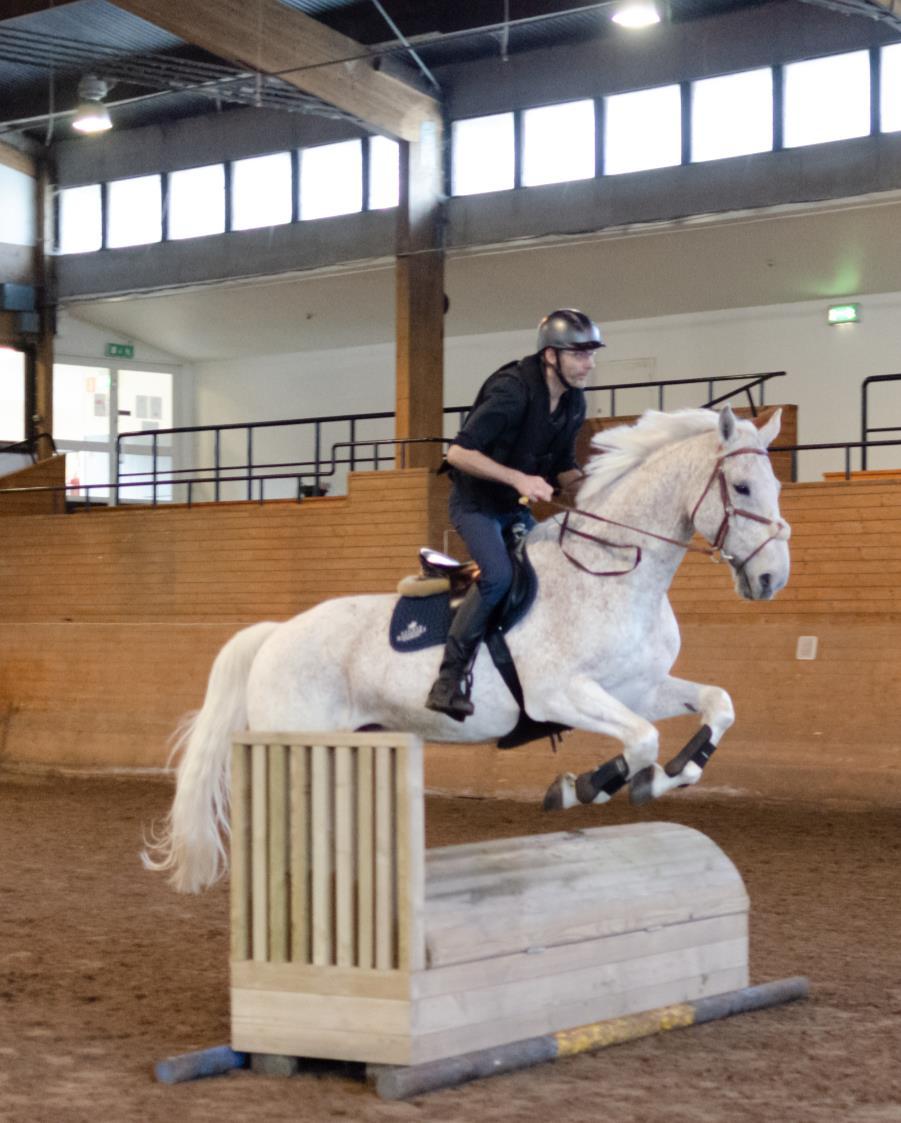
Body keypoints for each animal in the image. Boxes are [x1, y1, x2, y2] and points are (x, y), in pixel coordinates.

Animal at [142, 404, 786, 893]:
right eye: (743, 486)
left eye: (777, 486)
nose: (772, 579)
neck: (611, 570)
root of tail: (276, 633)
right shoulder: (562, 695)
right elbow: (643, 739)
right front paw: (584, 787)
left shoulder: (637, 689)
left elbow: (717, 706)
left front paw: (666, 776)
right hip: (299, 743)